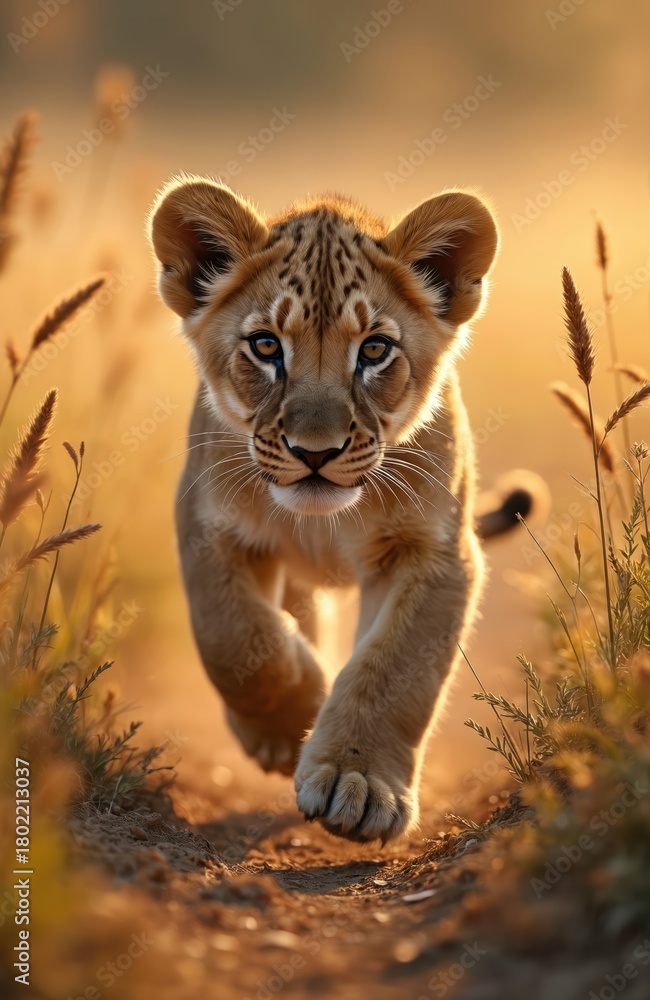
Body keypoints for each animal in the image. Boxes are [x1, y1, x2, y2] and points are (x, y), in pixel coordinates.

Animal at [148, 177, 541, 843]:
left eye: (375, 350)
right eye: (266, 346)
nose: (316, 452)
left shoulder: (436, 551)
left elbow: (393, 667)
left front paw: (355, 782)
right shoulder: (206, 524)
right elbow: (234, 640)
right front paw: (294, 718)